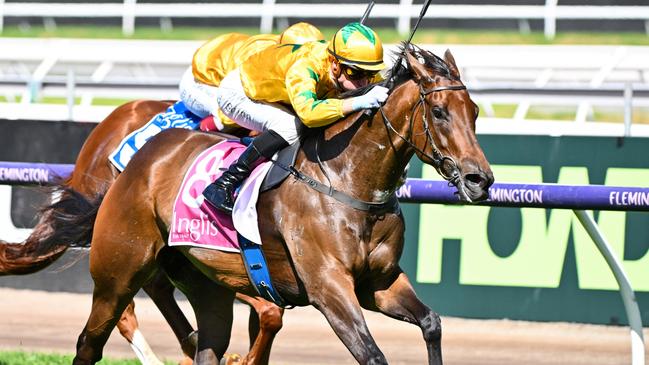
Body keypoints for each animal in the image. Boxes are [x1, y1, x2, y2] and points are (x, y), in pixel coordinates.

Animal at [69, 46, 492, 364]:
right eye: (439, 112)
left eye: (473, 112)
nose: (480, 180)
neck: (346, 180)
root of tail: (141, 153)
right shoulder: (329, 287)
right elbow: (372, 355)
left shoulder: (379, 283)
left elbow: (432, 323)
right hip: (118, 272)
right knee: (92, 340)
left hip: (206, 283)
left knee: (203, 340)